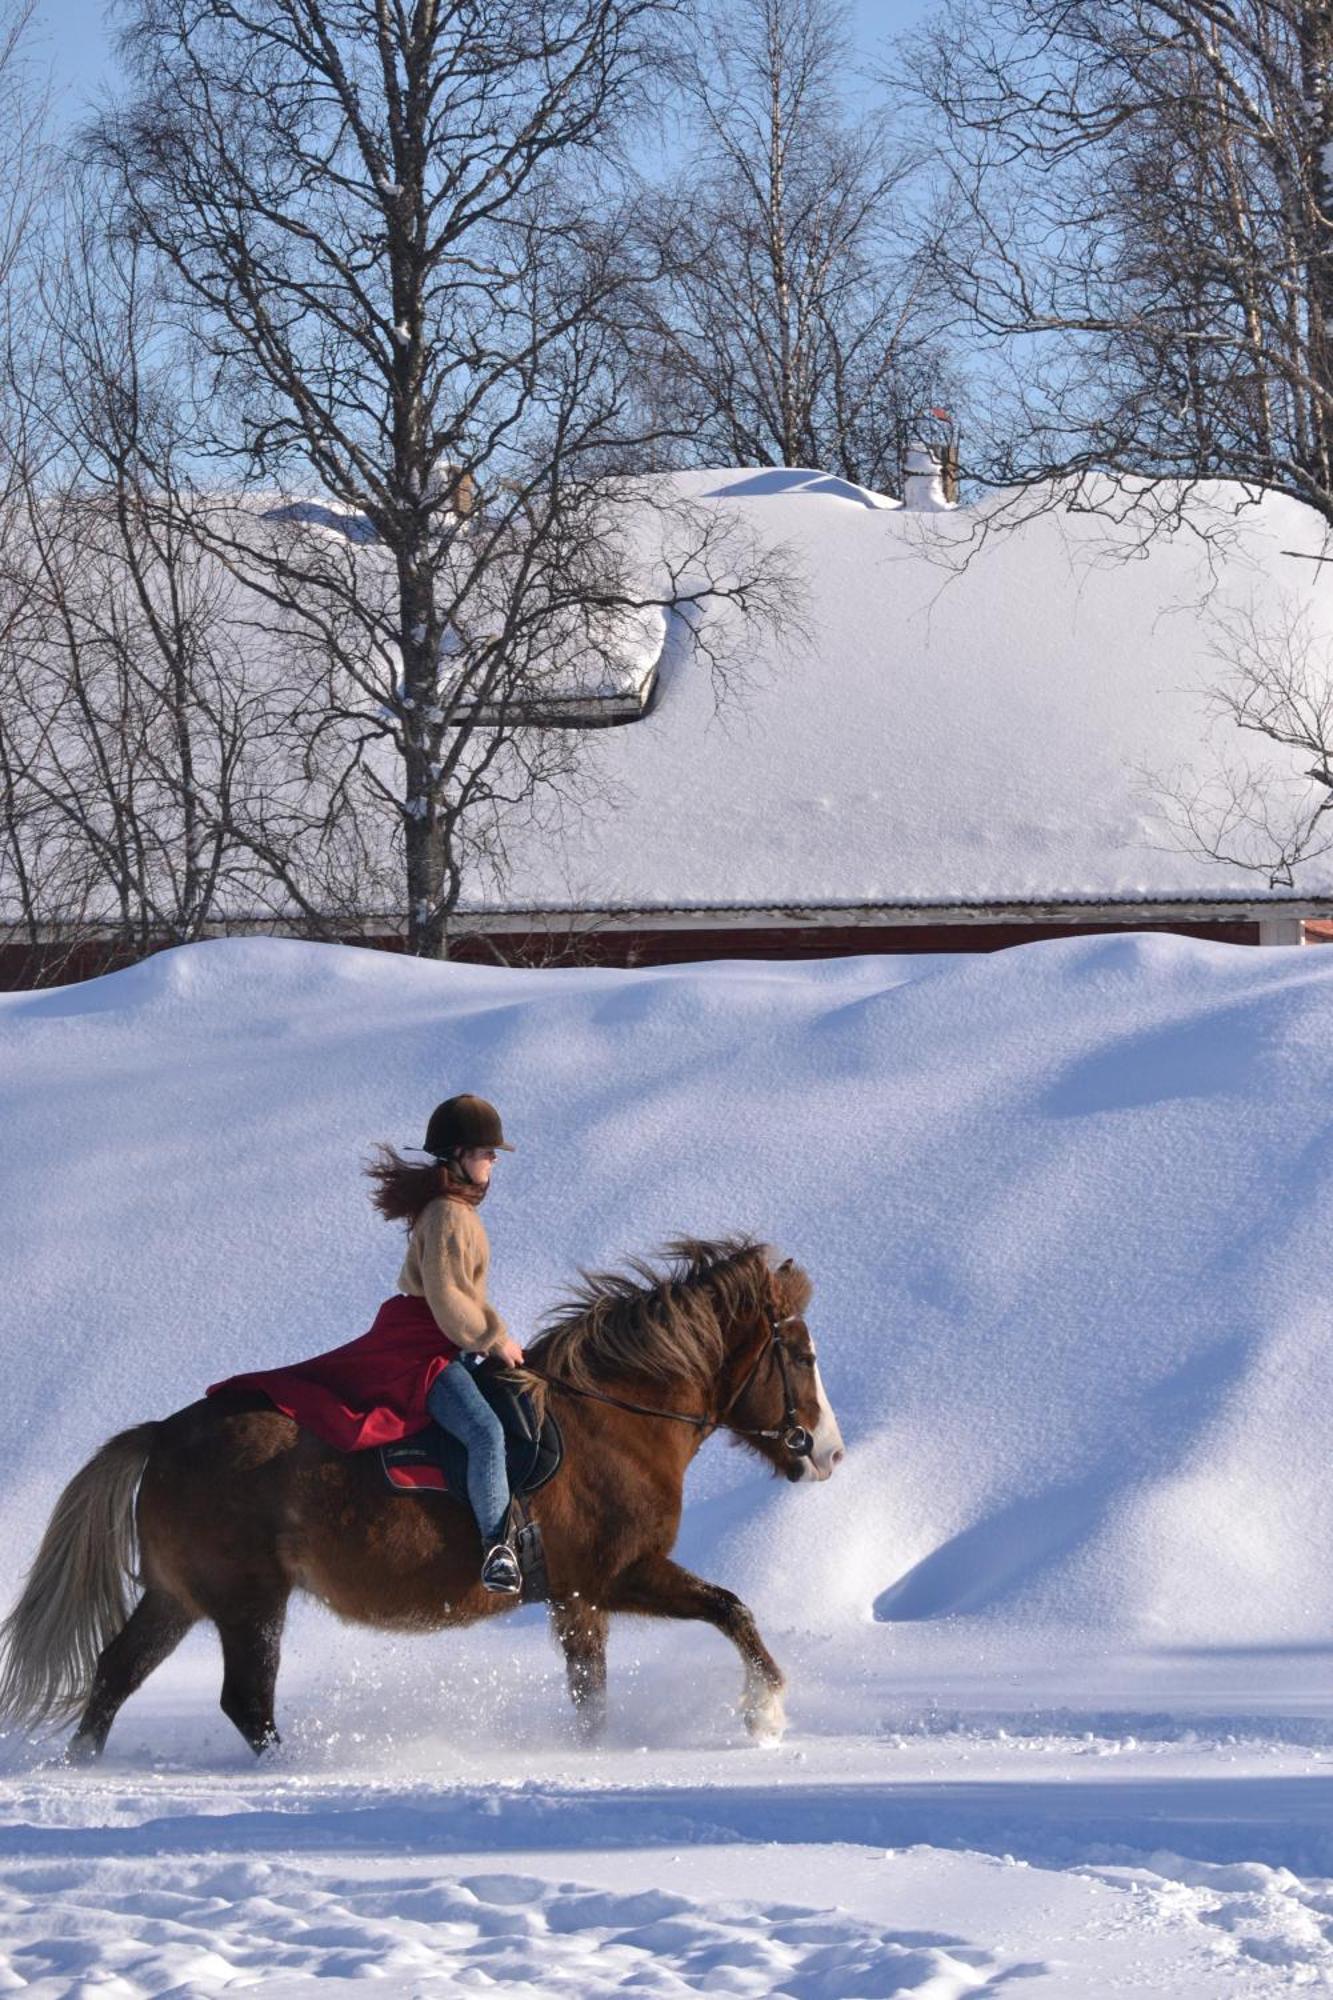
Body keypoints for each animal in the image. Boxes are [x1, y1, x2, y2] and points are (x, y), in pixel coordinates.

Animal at [0, 1232, 844, 1768]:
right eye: (799, 1354)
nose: (827, 1453)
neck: (611, 1421)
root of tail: (162, 1435)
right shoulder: (614, 1576)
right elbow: (730, 1609)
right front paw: (764, 1714)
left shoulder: (578, 1598)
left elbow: (594, 1692)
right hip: (246, 1602)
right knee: (244, 1701)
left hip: (179, 1596)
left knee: (116, 1674)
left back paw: (83, 1764)